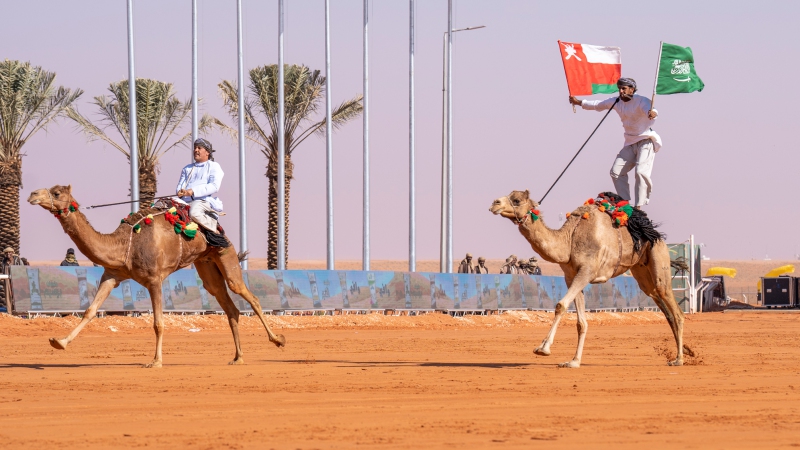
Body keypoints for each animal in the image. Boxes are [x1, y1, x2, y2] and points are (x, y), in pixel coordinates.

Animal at [26, 185, 286, 368]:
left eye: (56, 192)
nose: (32, 194)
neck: (125, 244)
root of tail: (219, 229)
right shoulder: (111, 275)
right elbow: (90, 311)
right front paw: (59, 342)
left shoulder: (154, 279)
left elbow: (158, 323)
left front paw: (156, 361)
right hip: (205, 264)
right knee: (228, 305)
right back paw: (238, 357)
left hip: (225, 253)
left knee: (249, 296)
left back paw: (278, 340)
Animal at [490, 190, 692, 370]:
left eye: (516, 200)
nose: (494, 203)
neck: (570, 240)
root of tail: (656, 236)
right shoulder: (571, 276)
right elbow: (581, 322)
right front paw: (573, 362)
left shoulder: (587, 271)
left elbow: (561, 305)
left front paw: (543, 348)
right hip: (641, 272)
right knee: (660, 301)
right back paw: (686, 351)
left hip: (658, 257)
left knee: (674, 308)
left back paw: (679, 359)